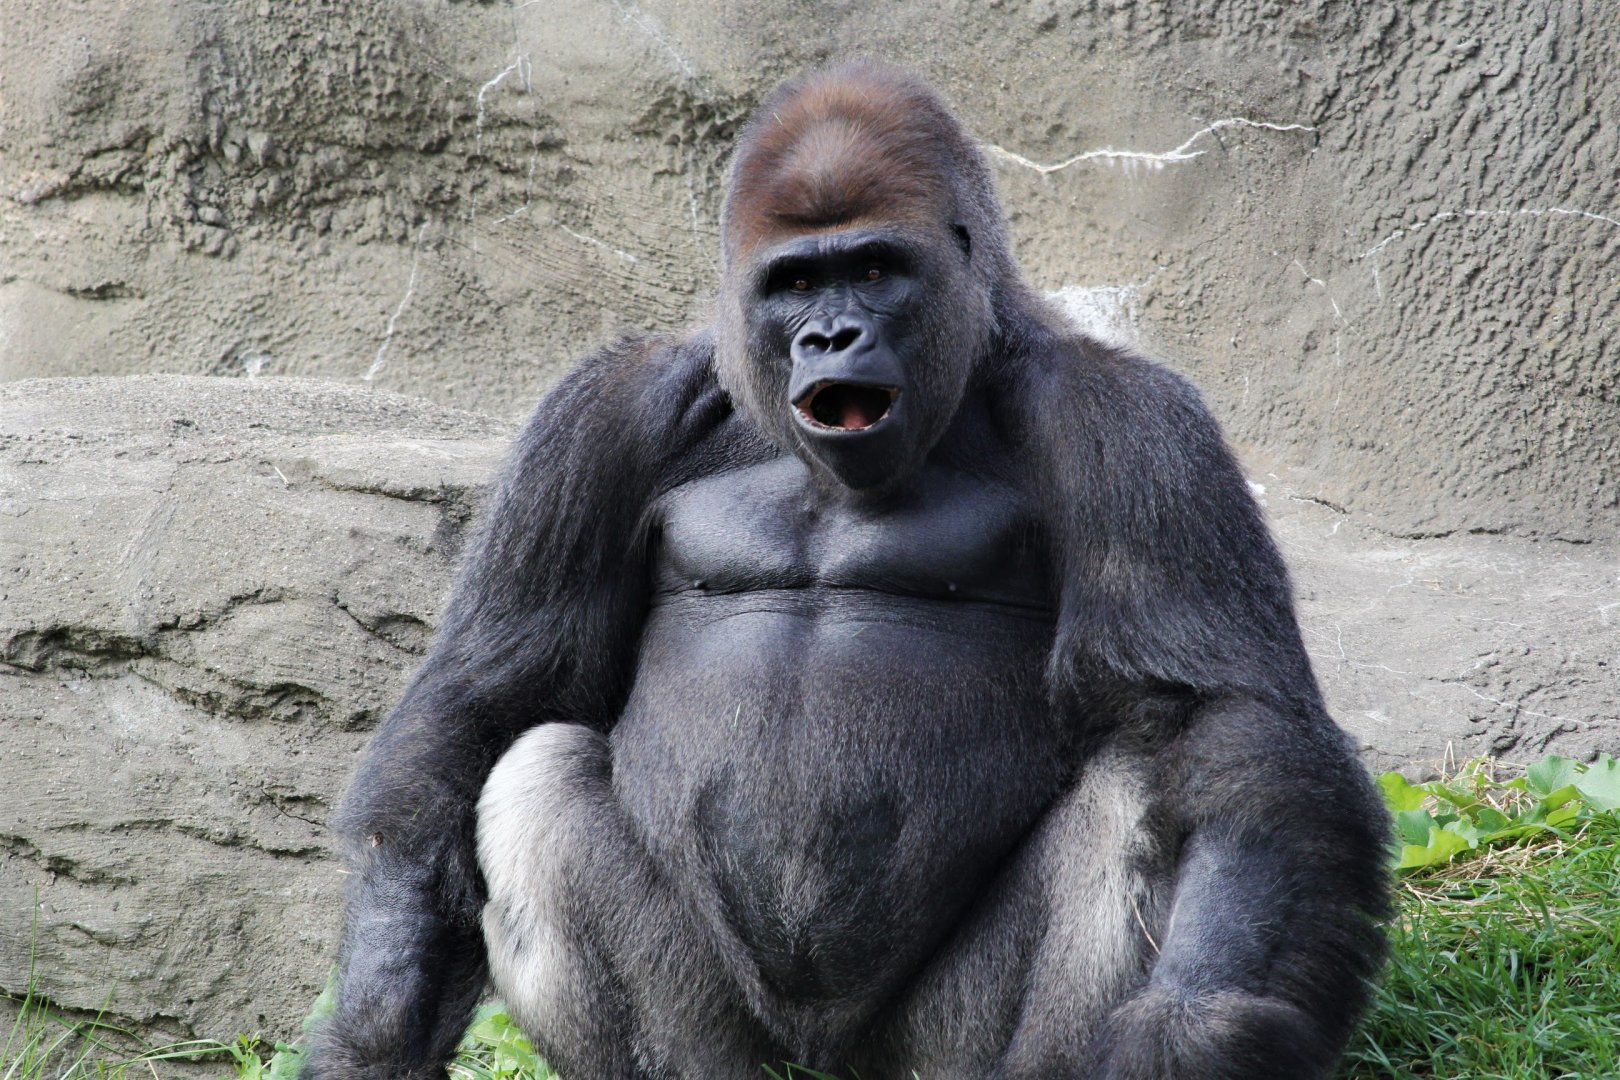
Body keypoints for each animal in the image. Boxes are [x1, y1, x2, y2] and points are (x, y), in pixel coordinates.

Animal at [302, 63, 1388, 1080]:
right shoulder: (594, 416)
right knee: (535, 773)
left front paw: (1196, 1032)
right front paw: (375, 1031)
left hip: (927, 1055)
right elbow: (494, 695)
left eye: (874, 269)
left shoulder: (1132, 425)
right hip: (749, 1054)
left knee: (1135, 784)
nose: (831, 337)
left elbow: (1219, 720)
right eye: (793, 286)